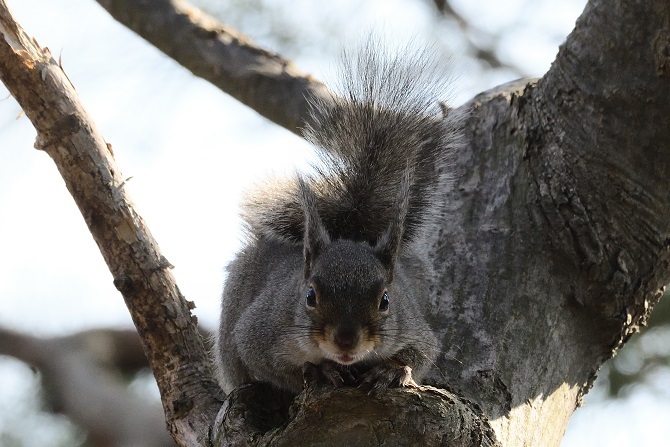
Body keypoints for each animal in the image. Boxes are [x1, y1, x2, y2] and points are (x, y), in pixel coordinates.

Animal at [214, 39, 462, 396]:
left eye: (385, 300)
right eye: (310, 296)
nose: (346, 342)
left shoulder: (413, 326)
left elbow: (421, 355)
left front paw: (390, 371)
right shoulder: (259, 332)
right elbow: (272, 367)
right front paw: (320, 370)